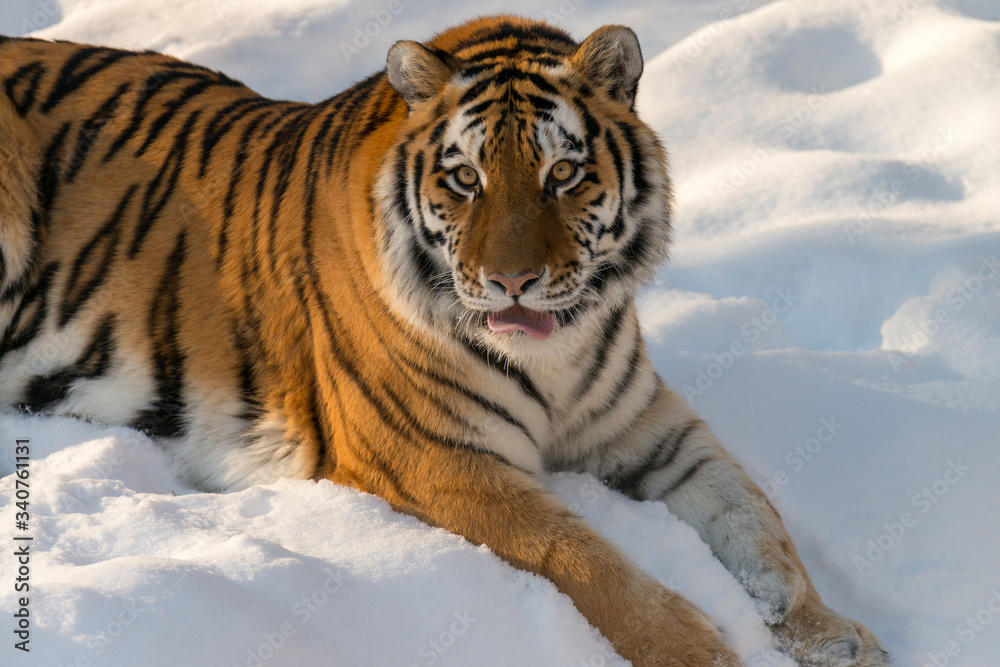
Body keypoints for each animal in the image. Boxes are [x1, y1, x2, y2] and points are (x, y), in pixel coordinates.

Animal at [0, 16, 889, 666]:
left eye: (563, 175)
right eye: (466, 179)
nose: (513, 282)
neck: (557, 351)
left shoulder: (652, 429)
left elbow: (757, 523)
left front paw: (832, 632)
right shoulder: (436, 457)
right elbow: (585, 561)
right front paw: (703, 650)